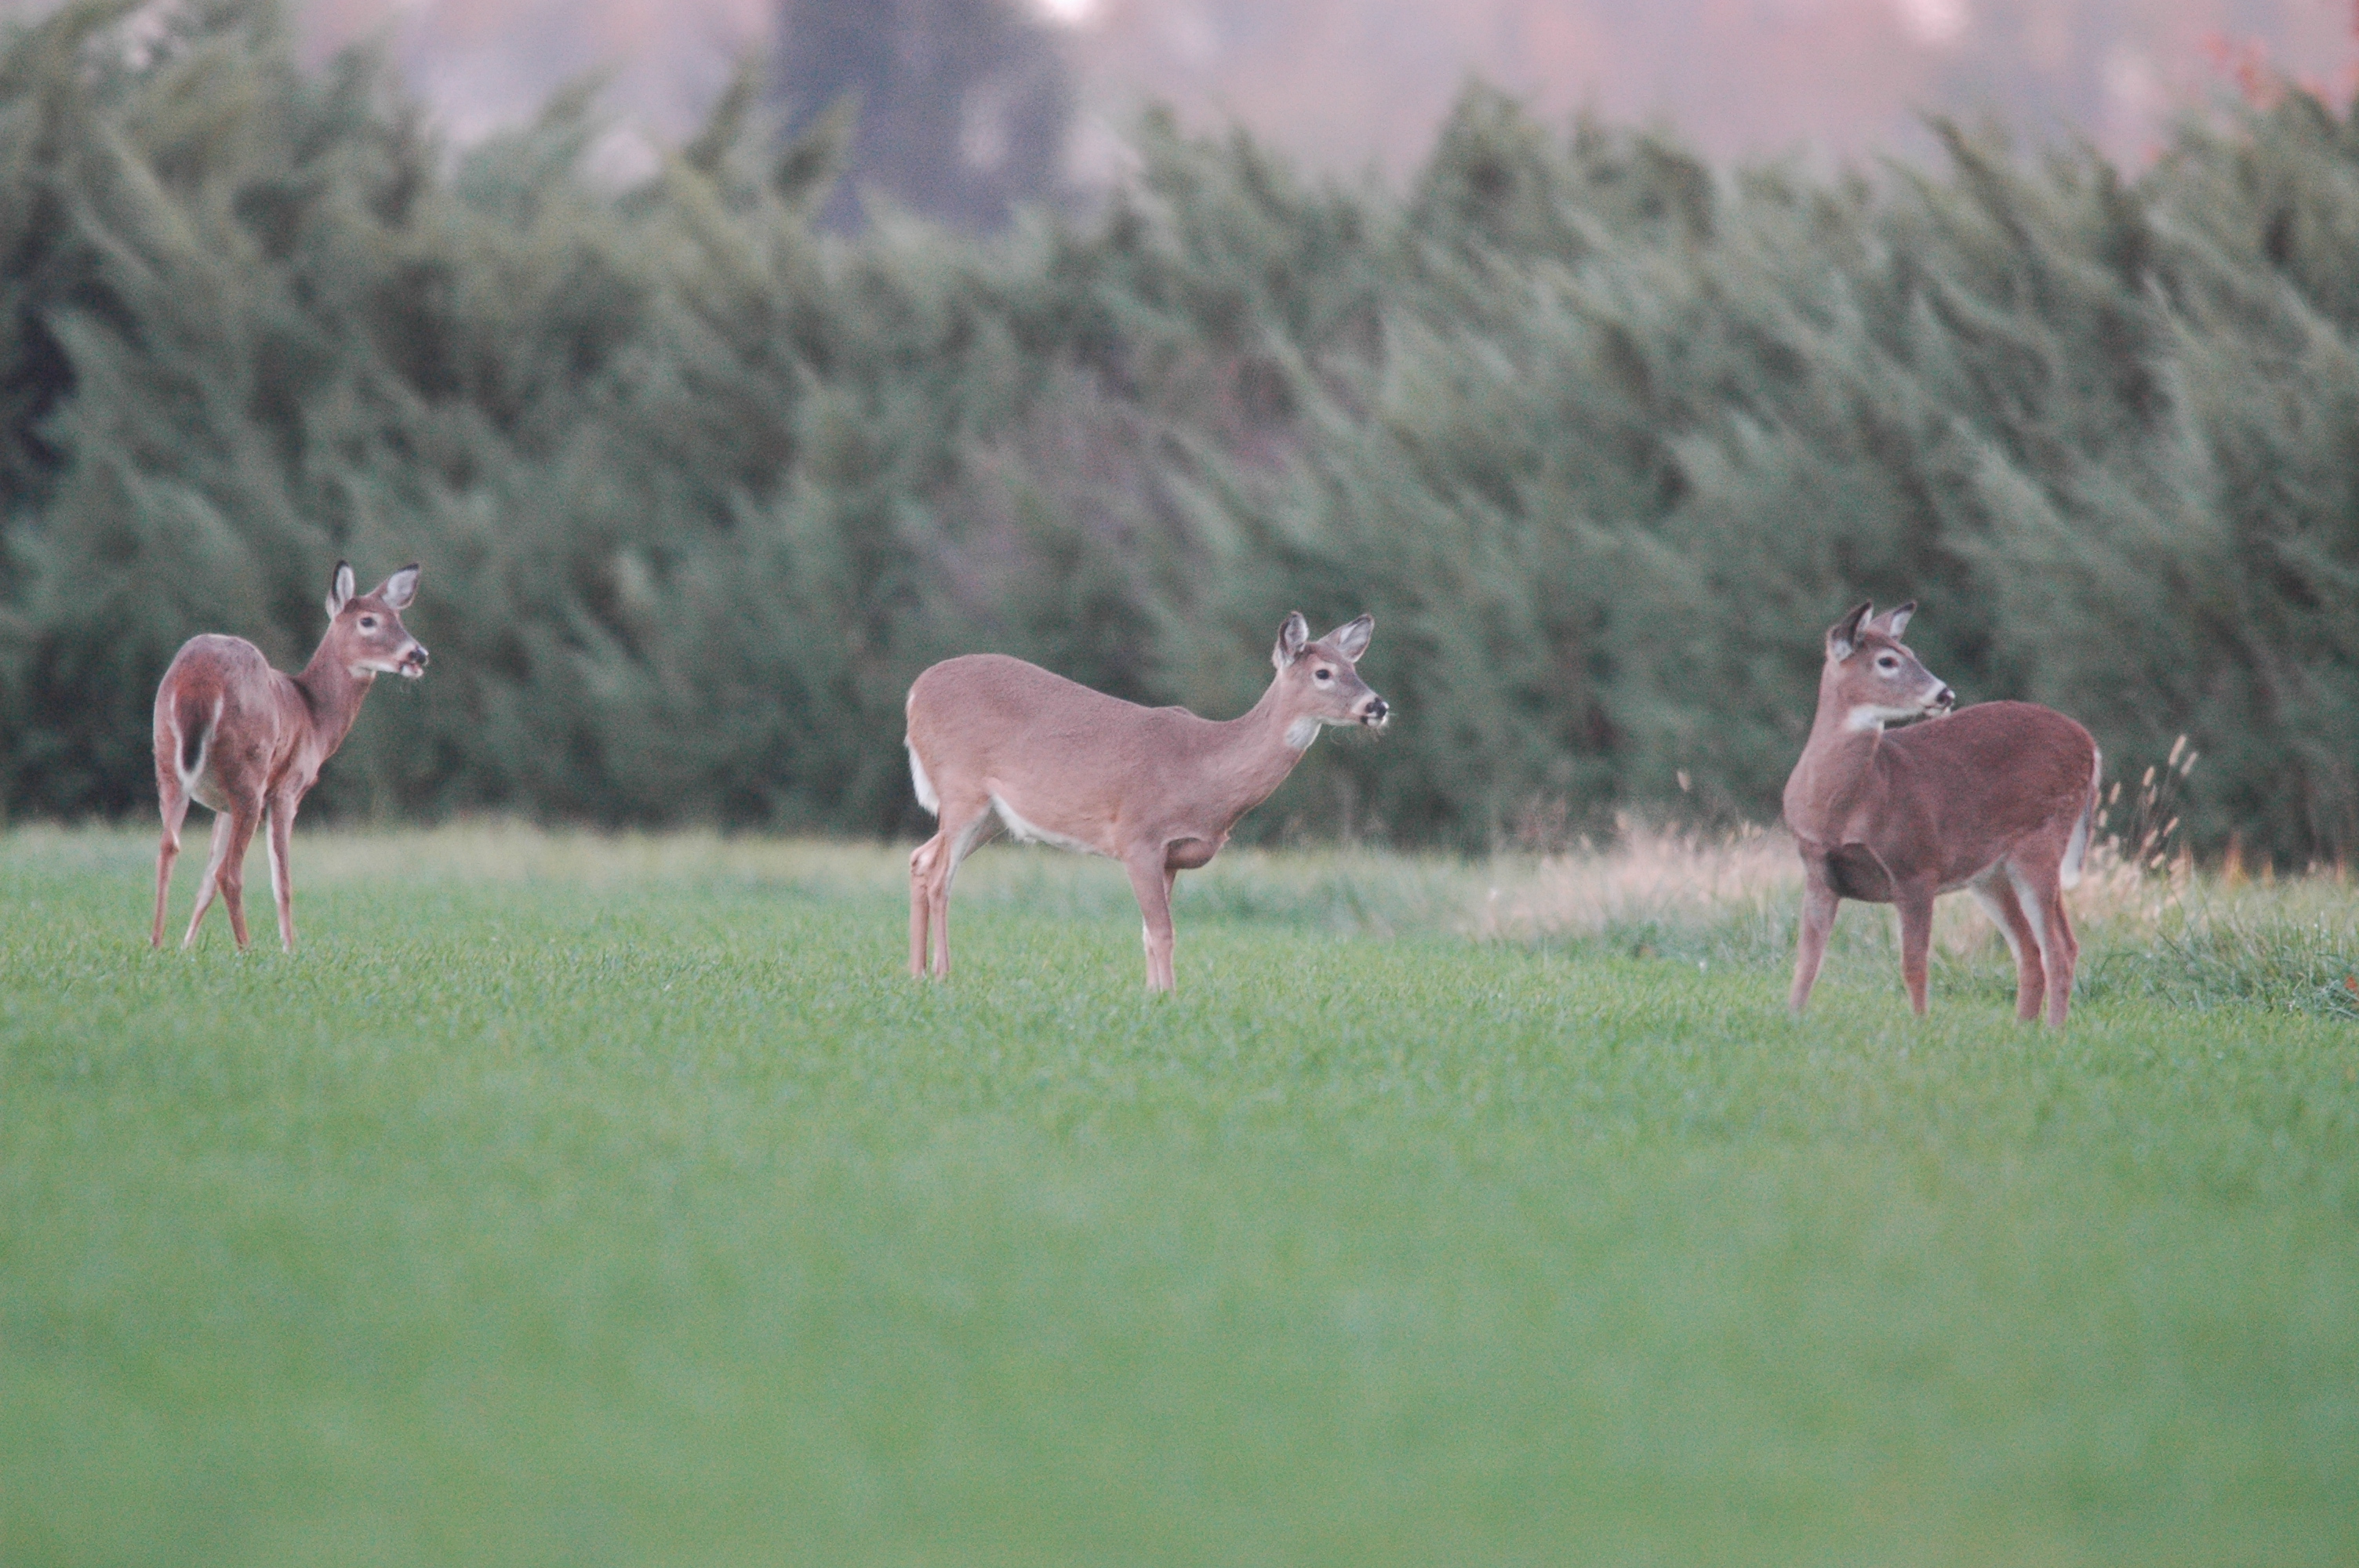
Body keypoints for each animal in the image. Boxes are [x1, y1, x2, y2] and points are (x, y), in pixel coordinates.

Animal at [154, 563, 431, 953]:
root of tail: (200, 676)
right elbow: (282, 881)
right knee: (229, 871)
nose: (418, 654)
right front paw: (290, 948)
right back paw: (246, 949)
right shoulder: (288, 788)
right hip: (250, 773)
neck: (315, 716)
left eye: (398, 617)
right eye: (368, 620)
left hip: (168, 758)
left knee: (169, 847)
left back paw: (156, 943)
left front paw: (186, 946)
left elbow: (204, 884)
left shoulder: (222, 805)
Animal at [896, 612, 1377, 990]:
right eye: (1323, 673)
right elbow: (1163, 931)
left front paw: (1151, 995)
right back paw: (941, 973)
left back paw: (915, 973)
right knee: (940, 877)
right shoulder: (1138, 838)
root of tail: (915, 692)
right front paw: (1170, 997)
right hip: (962, 789)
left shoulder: (1170, 856)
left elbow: (1150, 932)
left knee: (920, 858)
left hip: (993, 816)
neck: (1204, 772)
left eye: (1354, 667)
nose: (1378, 705)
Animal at [1783, 598, 2104, 1028]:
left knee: (2060, 948)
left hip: (2042, 842)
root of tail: (2090, 743)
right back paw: (2023, 1029)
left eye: (1911, 652)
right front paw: (1791, 1017)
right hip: (1989, 875)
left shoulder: (1917, 865)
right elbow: (1807, 961)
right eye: (1887, 660)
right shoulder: (1819, 872)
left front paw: (1920, 1026)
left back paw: (2052, 1032)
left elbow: (1913, 963)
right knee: (2030, 950)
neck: (1843, 807)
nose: (1945, 693)